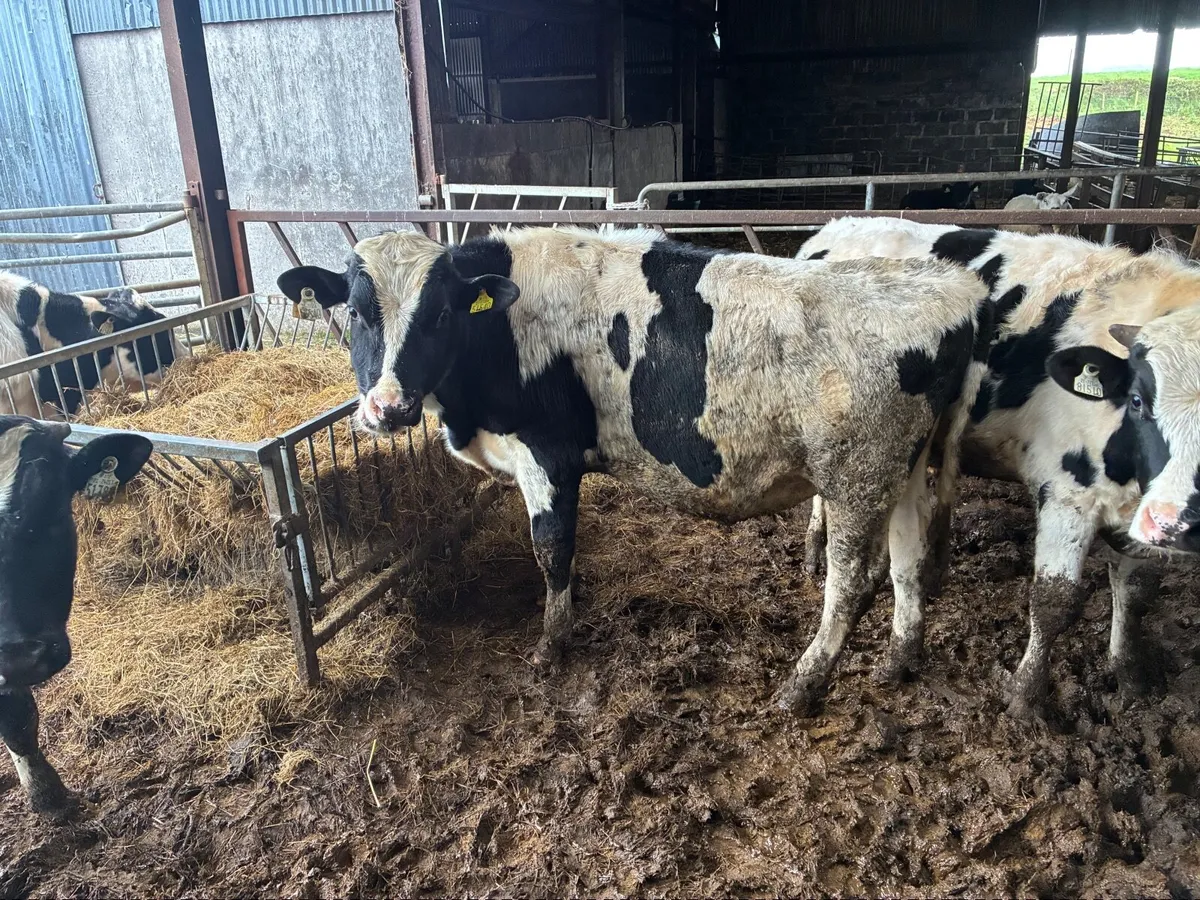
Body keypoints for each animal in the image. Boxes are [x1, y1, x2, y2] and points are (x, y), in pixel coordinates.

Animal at [278, 227, 992, 713]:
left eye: (441, 312)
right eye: (355, 310)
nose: (387, 408)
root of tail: (953, 290)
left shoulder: (545, 452)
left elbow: (552, 549)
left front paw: (551, 645)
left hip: (854, 477)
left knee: (849, 585)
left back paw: (803, 682)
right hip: (904, 470)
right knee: (906, 563)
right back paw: (900, 659)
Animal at [797, 215, 1200, 717]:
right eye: (1140, 400)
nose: (1182, 523)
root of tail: (838, 226)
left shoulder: (1141, 518)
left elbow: (1136, 594)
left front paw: (1129, 676)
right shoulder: (1067, 493)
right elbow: (1054, 601)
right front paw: (1026, 697)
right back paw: (816, 546)